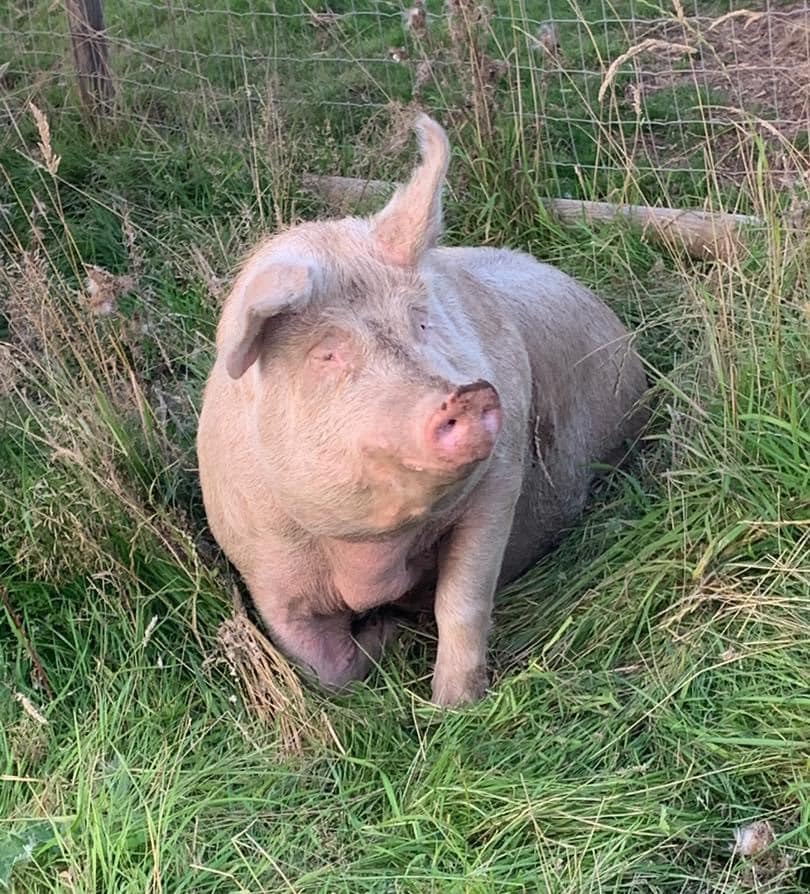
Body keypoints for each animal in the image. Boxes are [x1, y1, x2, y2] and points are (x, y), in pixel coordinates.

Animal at [196, 114, 647, 706]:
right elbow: (319, 663)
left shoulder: (498, 484)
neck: (371, 553)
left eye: (423, 322)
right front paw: (382, 638)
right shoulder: (260, 559)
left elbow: (461, 601)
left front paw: (454, 706)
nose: (469, 394)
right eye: (327, 354)